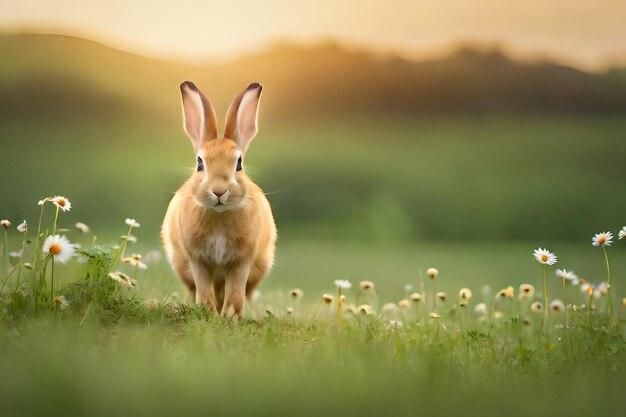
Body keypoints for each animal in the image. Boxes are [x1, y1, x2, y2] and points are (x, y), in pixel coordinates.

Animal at [162, 79, 276, 316]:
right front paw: (209, 313)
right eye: (199, 163)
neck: (219, 214)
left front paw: (229, 317)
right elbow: (204, 289)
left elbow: (235, 293)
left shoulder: (242, 261)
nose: (219, 191)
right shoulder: (197, 259)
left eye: (239, 163)